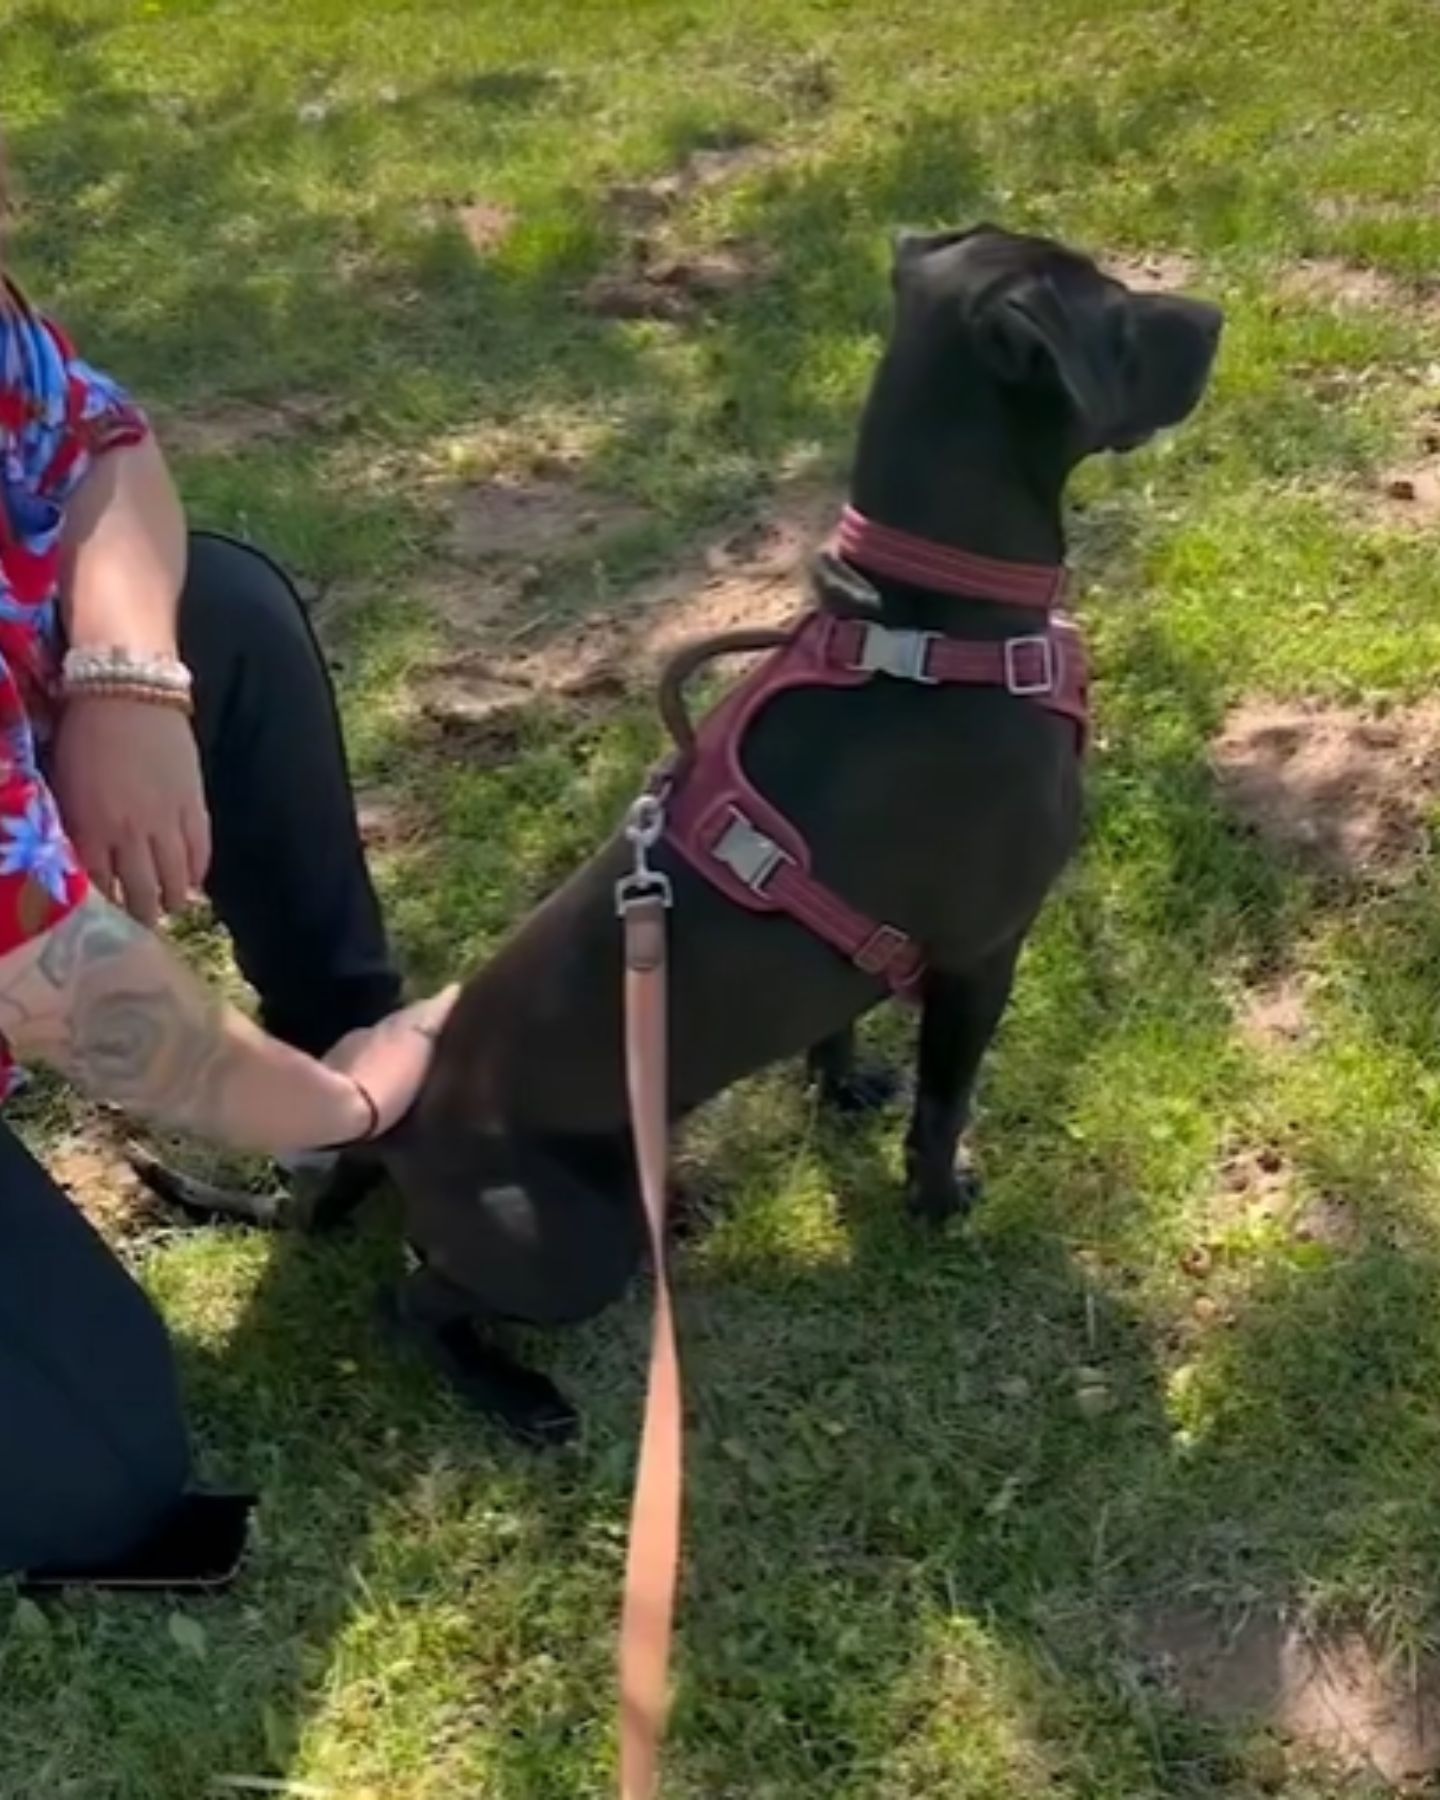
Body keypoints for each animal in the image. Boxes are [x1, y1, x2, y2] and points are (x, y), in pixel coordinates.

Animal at [369, 225, 1216, 1440]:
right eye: (1115, 315)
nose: (1218, 317)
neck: (929, 627)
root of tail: (393, 1132)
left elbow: (840, 1023)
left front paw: (842, 1090)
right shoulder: (984, 951)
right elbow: (946, 1101)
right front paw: (939, 1201)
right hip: (564, 1245)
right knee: (411, 1302)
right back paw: (516, 1393)